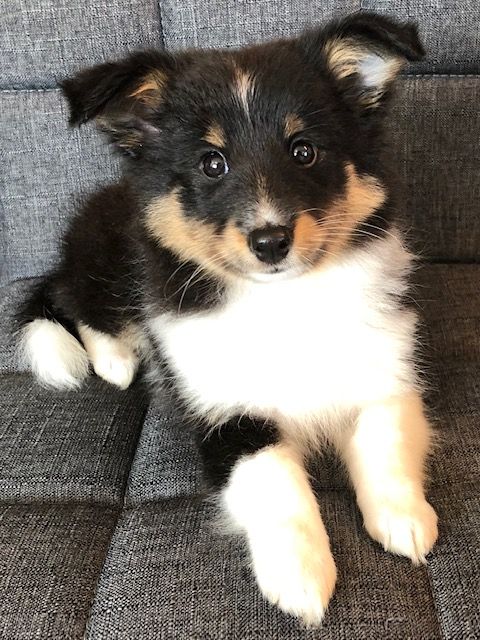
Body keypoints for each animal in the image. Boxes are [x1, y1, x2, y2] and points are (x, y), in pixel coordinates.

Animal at [17, 12, 438, 625]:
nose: (270, 241)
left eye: (304, 151)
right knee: (79, 304)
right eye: (211, 163)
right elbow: (276, 482)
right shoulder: (224, 409)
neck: (284, 299)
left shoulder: (385, 366)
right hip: (106, 264)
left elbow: (387, 439)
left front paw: (405, 520)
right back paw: (118, 360)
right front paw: (300, 576)